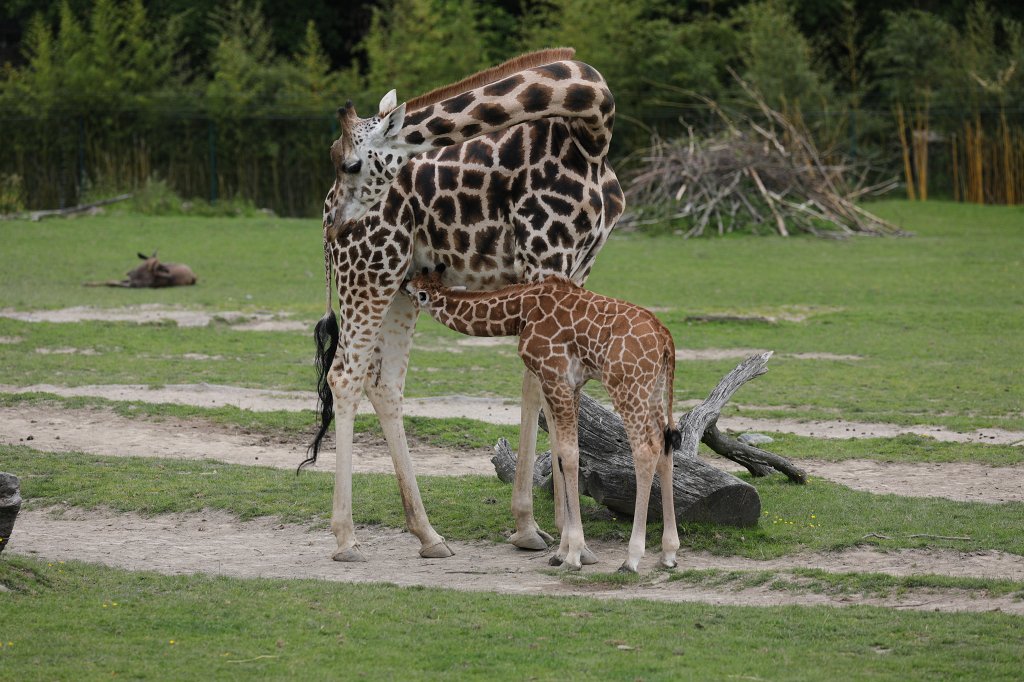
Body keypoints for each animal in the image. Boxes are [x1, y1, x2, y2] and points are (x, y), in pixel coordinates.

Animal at [303, 49, 624, 564]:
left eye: (350, 163)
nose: (341, 224)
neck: (591, 130)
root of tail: (322, 221)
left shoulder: (579, 268)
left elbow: (547, 389)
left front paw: (553, 532)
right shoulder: (545, 258)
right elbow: (543, 389)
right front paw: (563, 538)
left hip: (399, 285)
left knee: (384, 383)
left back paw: (428, 534)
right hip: (369, 273)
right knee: (344, 377)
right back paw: (347, 538)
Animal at [405, 266, 682, 572]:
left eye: (418, 292)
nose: (403, 284)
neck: (519, 312)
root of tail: (666, 339)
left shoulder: (554, 376)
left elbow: (569, 456)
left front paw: (573, 556)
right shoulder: (572, 384)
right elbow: (560, 455)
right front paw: (562, 552)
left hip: (627, 387)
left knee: (645, 450)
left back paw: (631, 559)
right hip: (655, 390)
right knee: (666, 445)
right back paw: (669, 553)